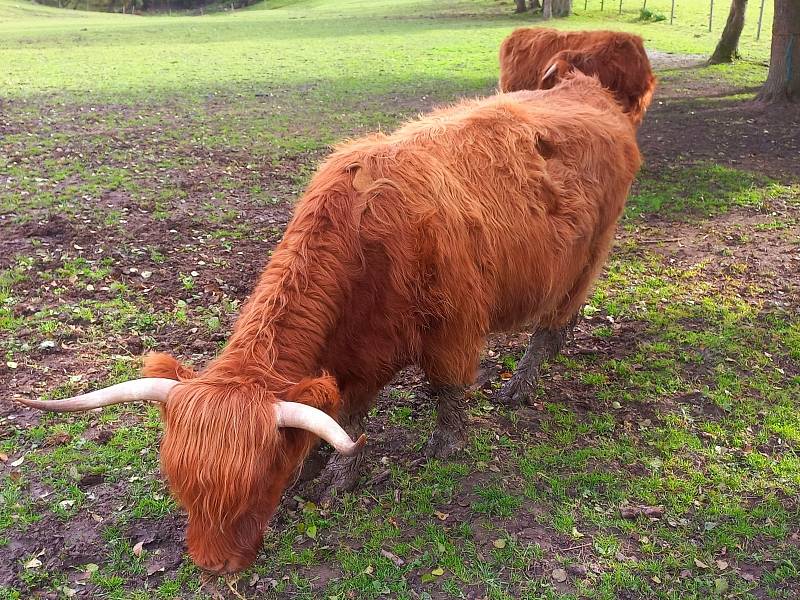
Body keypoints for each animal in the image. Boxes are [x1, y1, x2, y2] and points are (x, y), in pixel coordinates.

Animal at [18, 72, 644, 576]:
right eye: (180, 483)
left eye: (258, 481)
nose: (213, 566)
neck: (368, 241)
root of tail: (587, 90)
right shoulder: (355, 352)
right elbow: (339, 414)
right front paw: (323, 470)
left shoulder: (453, 326)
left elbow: (439, 391)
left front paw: (435, 448)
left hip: (588, 256)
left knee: (554, 324)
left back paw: (520, 385)